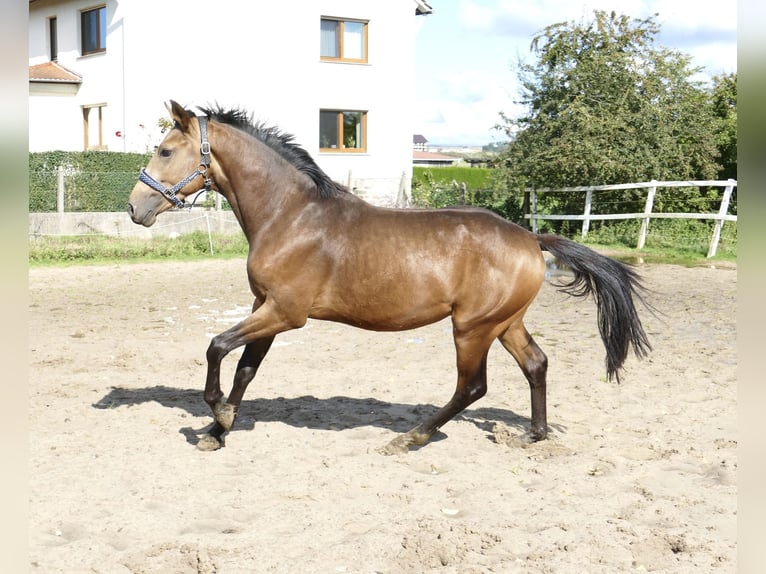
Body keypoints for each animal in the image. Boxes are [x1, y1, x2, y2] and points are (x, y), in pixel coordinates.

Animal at [127, 101, 656, 456]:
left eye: (166, 150)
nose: (136, 208)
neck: (291, 215)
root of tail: (531, 238)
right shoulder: (266, 308)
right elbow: (245, 369)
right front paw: (219, 432)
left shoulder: (286, 313)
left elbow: (217, 347)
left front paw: (215, 413)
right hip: (506, 323)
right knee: (536, 364)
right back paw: (535, 435)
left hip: (473, 328)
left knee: (472, 387)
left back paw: (411, 437)